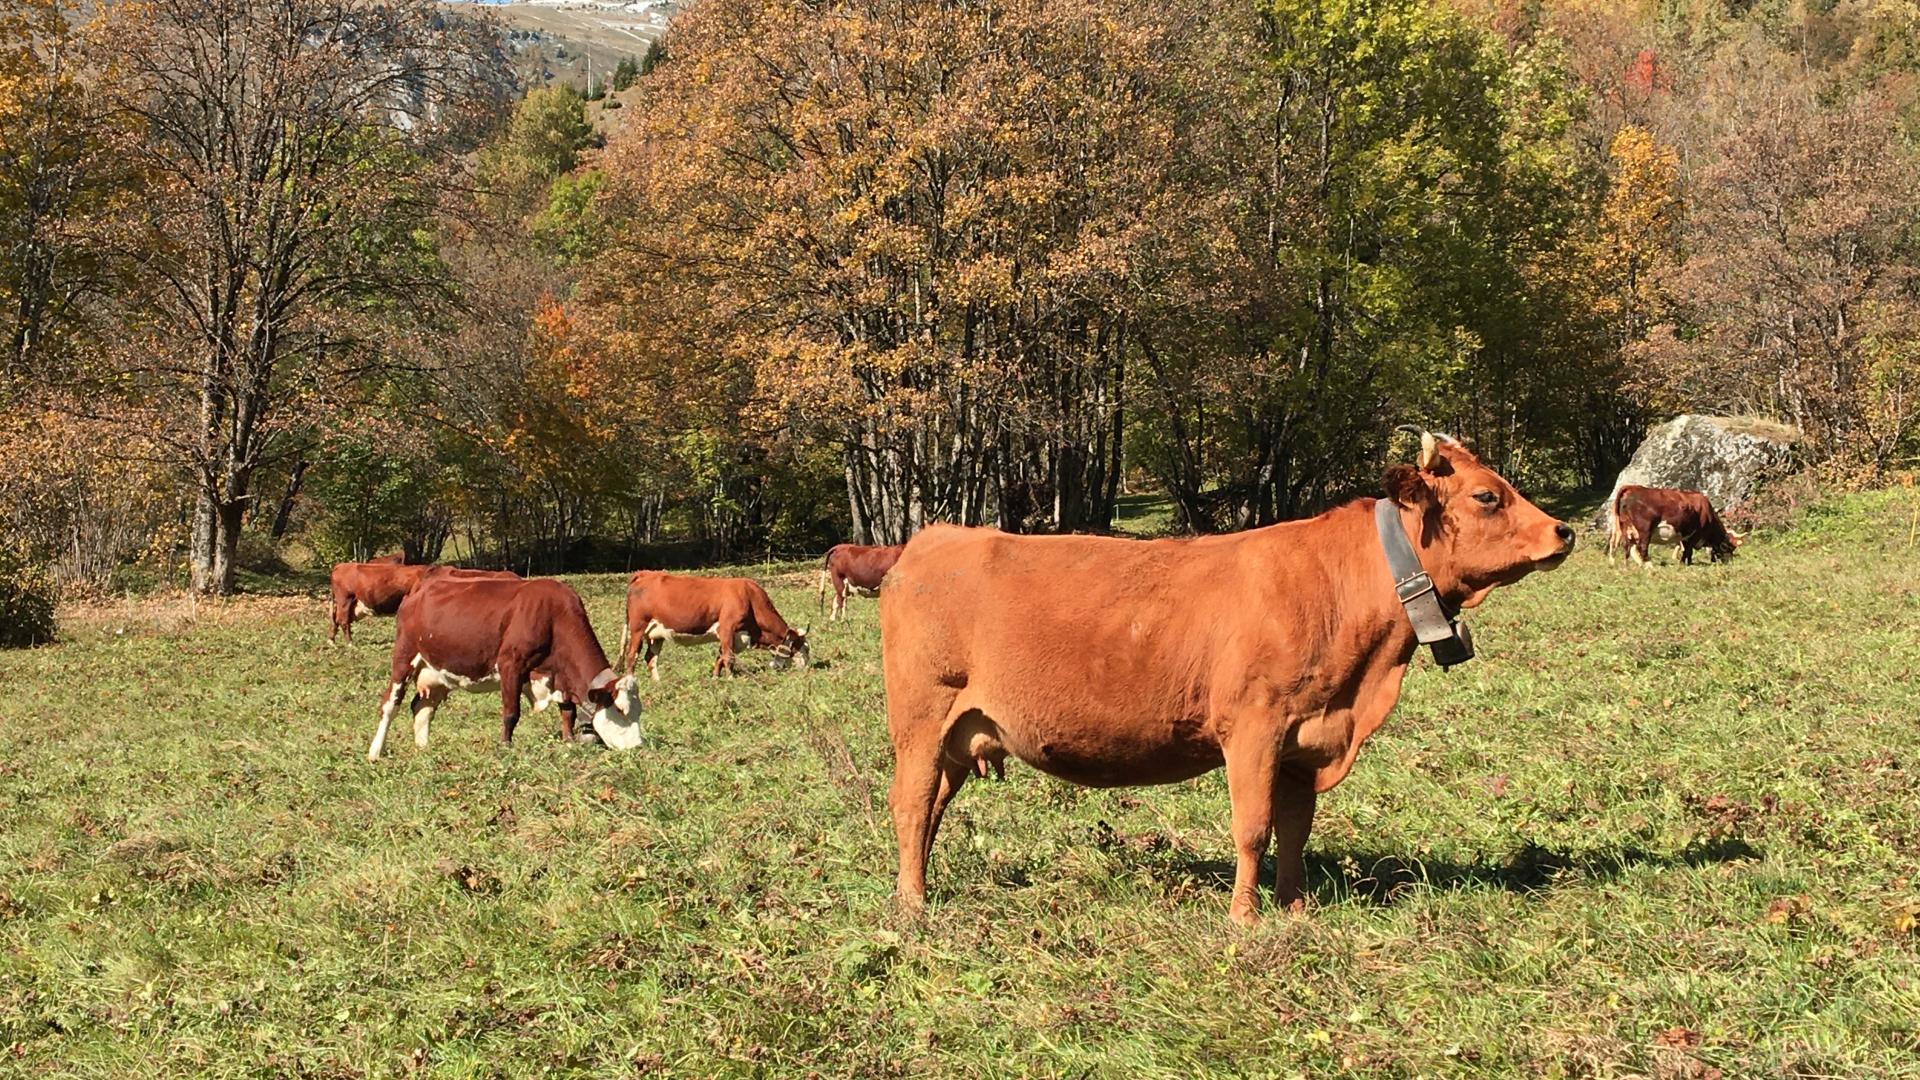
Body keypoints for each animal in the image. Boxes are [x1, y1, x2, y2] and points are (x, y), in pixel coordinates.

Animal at [328, 557, 518, 641]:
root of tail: (341, 565)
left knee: (337, 618)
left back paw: (332, 640)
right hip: (346, 599)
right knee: (343, 620)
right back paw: (349, 644)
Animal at [368, 572, 645, 757]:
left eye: (639, 711)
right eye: (620, 709)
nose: (638, 746)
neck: (554, 616)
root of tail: (419, 588)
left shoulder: (561, 675)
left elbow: (568, 711)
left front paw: (568, 741)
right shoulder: (511, 664)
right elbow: (511, 713)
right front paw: (505, 747)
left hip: (436, 671)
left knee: (422, 706)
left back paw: (423, 748)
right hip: (404, 657)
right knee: (390, 704)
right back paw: (376, 751)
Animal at [622, 568, 810, 676]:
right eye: (804, 647)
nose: (807, 667)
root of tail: (645, 573)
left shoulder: (732, 635)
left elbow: (720, 656)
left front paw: (715, 679)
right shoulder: (727, 627)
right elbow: (728, 657)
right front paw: (730, 679)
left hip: (656, 634)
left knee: (650, 658)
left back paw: (658, 683)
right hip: (638, 627)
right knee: (632, 656)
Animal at [883, 432, 1574, 922]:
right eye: (1487, 496)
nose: (1563, 531)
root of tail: (931, 539)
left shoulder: (1307, 739)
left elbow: (1295, 828)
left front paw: (1295, 908)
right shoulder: (1254, 726)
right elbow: (1253, 828)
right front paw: (1245, 919)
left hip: (961, 734)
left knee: (933, 807)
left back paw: (920, 886)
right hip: (920, 718)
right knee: (911, 804)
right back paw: (913, 906)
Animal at [1605, 480, 1743, 564]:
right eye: (1728, 547)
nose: (1730, 562)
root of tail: (1631, 487)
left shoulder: (1685, 535)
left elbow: (1686, 550)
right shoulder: (1694, 535)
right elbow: (1688, 550)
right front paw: (1684, 563)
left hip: (1625, 527)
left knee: (1625, 545)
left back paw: (1626, 566)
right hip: (1644, 529)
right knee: (1641, 547)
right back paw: (1649, 566)